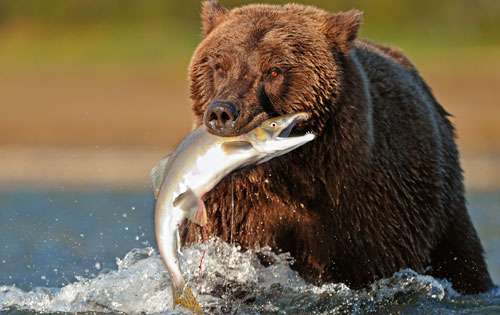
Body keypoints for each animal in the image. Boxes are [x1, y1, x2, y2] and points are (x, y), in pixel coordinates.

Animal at [181, 0, 492, 296]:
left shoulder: (368, 208)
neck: (291, 172)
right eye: (220, 66)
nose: (223, 112)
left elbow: (374, 263)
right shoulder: (234, 208)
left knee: (464, 259)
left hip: (443, 203)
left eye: (274, 71)